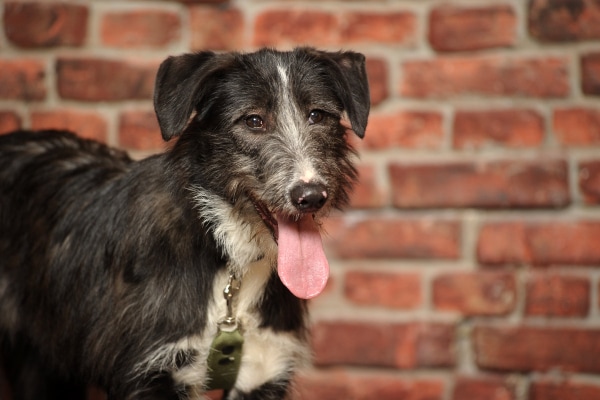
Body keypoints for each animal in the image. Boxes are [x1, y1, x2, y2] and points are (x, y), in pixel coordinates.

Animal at [0, 47, 370, 400]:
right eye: (253, 120)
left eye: (317, 115)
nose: (311, 195)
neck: (228, 258)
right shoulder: (148, 375)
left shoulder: (264, 372)